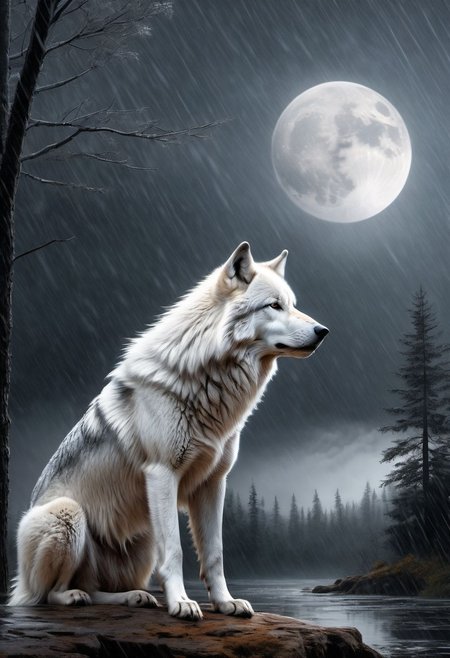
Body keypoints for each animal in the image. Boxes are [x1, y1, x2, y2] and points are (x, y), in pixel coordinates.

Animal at [10, 242, 328, 619]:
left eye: (292, 304)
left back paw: (134, 597)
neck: (208, 379)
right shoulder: (162, 475)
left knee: (98, 588)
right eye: (274, 305)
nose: (323, 331)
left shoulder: (213, 482)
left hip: (142, 540)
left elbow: (215, 553)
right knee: (49, 594)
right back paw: (76, 597)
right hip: (68, 514)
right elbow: (175, 551)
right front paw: (182, 603)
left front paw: (226, 602)